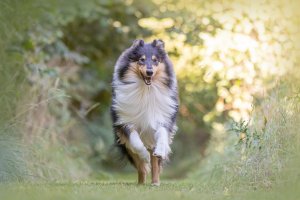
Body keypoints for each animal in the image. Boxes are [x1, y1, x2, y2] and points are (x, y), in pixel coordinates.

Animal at [111, 39, 179, 186]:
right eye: (141, 60)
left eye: (155, 60)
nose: (149, 72)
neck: (147, 91)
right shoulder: (125, 123)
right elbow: (136, 142)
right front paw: (144, 155)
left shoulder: (163, 119)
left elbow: (162, 135)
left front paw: (160, 150)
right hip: (127, 147)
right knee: (141, 166)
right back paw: (141, 182)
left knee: (155, 165)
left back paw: (155, 182)